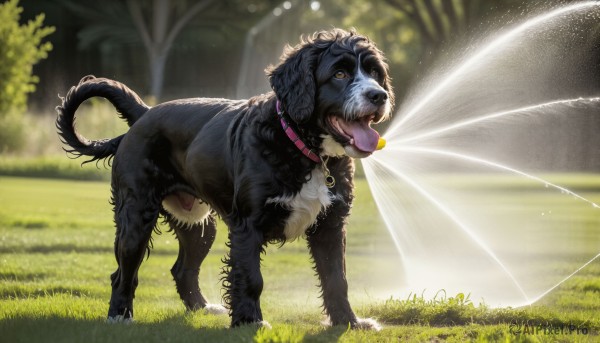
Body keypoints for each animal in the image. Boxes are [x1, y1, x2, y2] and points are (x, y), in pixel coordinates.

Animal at [56, 28, 394, 330]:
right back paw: (119, 315)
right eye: (340, 74)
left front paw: (349, 322)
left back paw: (202, 308)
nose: (379, 95)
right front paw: (249, 322)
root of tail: (144, 113)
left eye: (374, 73)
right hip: (135, 217)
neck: (300, 146)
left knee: (182, 269)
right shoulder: (248, 225)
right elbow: (251, 277)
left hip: (199, 226)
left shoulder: (330, 225)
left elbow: (337, 278)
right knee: (123, 272)